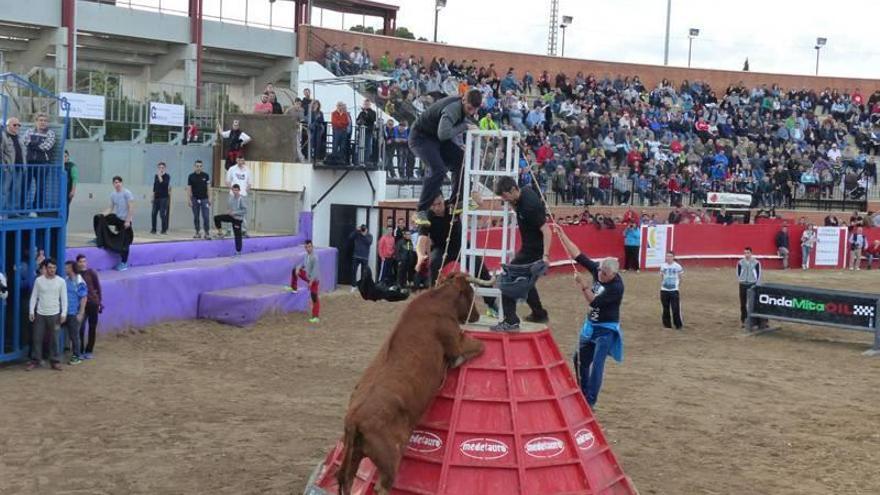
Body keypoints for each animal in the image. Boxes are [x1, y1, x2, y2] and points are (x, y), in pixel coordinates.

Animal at [338, 274, 488, 494]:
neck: (439, 301)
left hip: (354, 455)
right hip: (390, 459)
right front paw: (456, 361)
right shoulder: (456, 341)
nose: (476, 315)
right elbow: (479, 346)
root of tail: (354, 419)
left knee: (348, 481)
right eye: (470, 293)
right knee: (382, 486)